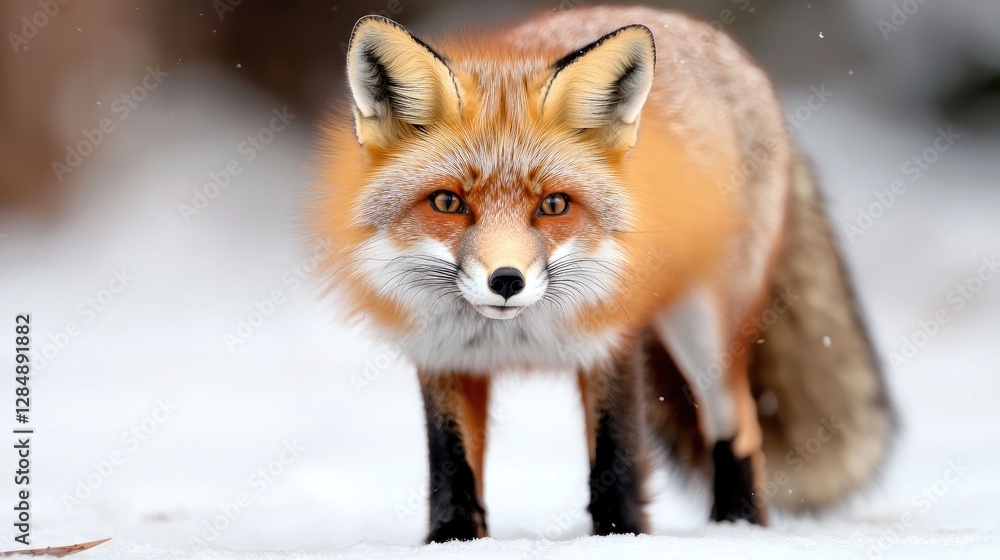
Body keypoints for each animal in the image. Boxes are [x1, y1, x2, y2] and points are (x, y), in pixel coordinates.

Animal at [313, 6, 895, 542]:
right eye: (447, 202)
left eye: (553, 205)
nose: (507, 281)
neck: (516, 336)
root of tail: (720, 43)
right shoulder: (443, 353)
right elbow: (451, 466)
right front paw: (451, 540)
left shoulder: (611, 340)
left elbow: (616, 461)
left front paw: (620, 537)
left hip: (703, 330)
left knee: (739, 427)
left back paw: (737, 531)